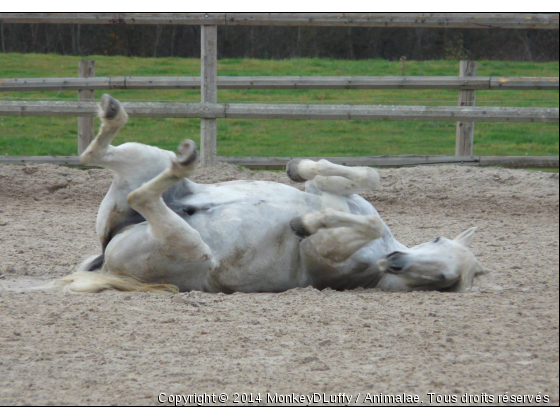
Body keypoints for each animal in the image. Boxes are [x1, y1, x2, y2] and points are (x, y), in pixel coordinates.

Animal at [51, 94, 486, 296]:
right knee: (94, 156)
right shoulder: (332, 194)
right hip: (146, 161)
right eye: (437, 238)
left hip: (190, 247)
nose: (396, 261)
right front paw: (299, 169)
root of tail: (107, 262)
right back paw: (120, 118)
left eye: (445, 278)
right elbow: (363, 178)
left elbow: (361, 221)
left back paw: (182, 161)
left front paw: (305, 222)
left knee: (140, 195)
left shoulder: (322, 252)